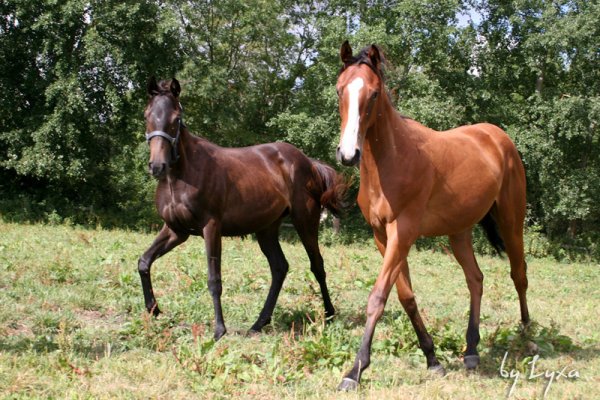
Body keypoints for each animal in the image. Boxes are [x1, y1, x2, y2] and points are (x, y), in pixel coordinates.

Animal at [139, 76, 344, 340]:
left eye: (176, 118)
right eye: (147, 115)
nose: (157, 166)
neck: (182, 176)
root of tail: (309, 162)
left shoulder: (211, 228)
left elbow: (214, 279)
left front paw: (219, 329)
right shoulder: (176, 230)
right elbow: (144, 262)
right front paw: (154, 310)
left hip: (305, 222)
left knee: (317, 265)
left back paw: (329, 314)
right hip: (267, 229)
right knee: (280, 268)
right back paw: (260, 322)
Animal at [336, 43, 528, 390]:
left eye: (373, 93)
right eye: (339, 89)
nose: (348, 155)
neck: (394, 160)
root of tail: (497, 136)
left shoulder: (403, 233)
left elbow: (378, 297)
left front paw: (354, 371)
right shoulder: (382, 237)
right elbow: (406, 296)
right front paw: (432, 358)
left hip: (511, 221)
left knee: (519, 274)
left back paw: (528, 336)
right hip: (459, 232)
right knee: (475, 279)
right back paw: (471, 351)